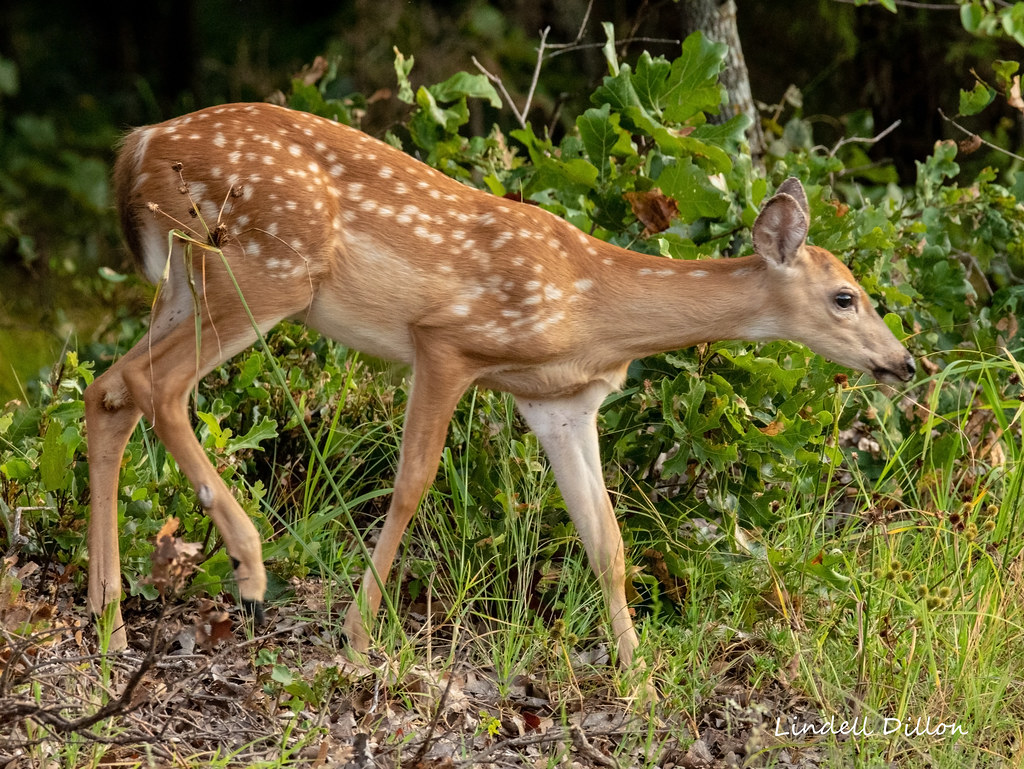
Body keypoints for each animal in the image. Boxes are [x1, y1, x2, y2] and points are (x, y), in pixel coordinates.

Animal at [85, 102, 915, 669]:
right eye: (845, 296)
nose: (904, 363)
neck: (591, 303)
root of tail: (137, 146)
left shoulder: (559, 401)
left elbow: (606, 539)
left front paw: (640, 677)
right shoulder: (447, 341)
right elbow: (411, 485)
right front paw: (357, 635)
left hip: (187, 282)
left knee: (107, 389)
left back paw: (109, 619)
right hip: (263, 267)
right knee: (155, 386)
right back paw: (250, 569)